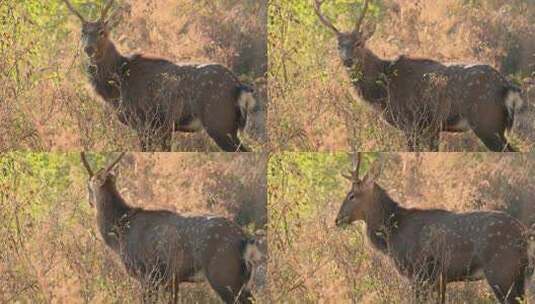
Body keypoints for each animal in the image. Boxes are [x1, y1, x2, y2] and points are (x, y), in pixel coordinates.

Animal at [62, 0, 260, 152]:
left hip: (219, 122)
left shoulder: (144, 121)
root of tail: (239, 87)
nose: (89, 48)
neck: (118, 86)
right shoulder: (161, 127)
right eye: (82, 33)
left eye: (102, 32)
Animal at [80, 153, 262, 302]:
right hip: (242, 280)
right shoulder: (169, 279)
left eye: (89, 185)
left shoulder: (147, 274)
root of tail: (245, 241)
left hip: (223, 275)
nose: (89, 201)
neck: (121, 233)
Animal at [314, 0, 528, 152]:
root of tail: (507, 87)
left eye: (359, 43)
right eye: (339, 45)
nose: (347, 60)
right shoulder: (431, 128)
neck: (383, 90)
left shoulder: (410, 122)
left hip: (487, 122)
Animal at [338, 154, 532, 304]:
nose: (337, 219)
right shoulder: (435, 278)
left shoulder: (420, 272)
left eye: (352, 195)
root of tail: (523, 237)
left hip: (501, 270)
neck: (391, 236)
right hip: (518, 275)